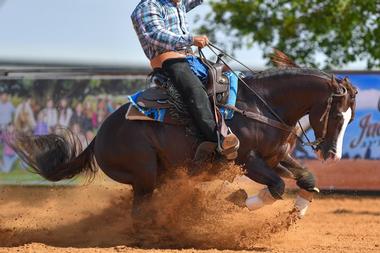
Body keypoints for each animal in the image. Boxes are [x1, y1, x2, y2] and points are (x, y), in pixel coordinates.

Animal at [10, 65, 358, 217]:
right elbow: (276, 187)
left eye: (350, 119)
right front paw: (235, 200)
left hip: (161, 175)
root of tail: (98, 137)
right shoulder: (248, 162)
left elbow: (308, 180)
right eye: (338, 117)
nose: (332, 154)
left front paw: (298, 211)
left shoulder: (276, 158)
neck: (260, 106)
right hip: (145, 174)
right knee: (140, 208)